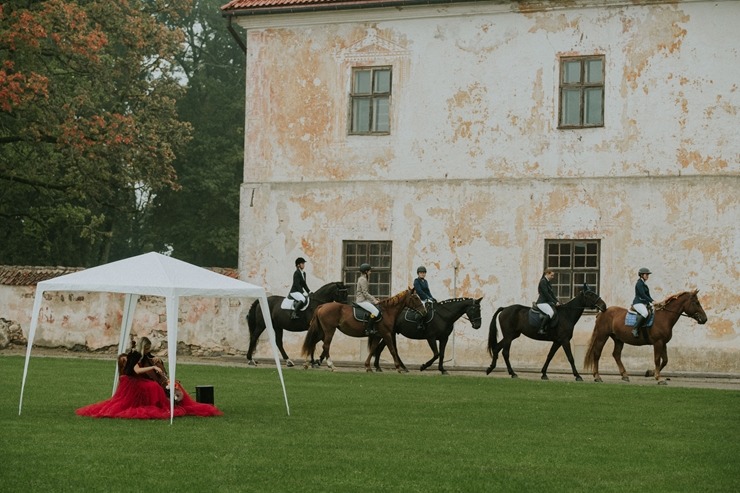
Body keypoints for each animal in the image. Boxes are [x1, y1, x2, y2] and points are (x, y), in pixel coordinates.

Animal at [580, 288, 708, 384]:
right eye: (696, 303)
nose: (705, 319)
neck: (664, 317)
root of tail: (602, 311)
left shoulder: (663, 343)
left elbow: (665, 360)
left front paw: (651, 372)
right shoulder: (658, 343)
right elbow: (657, 359)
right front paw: (658, 378)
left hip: (618, 339)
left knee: (616, 355)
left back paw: (624, 375)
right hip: (602, 336)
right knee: (597, 354)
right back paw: (597, 376)